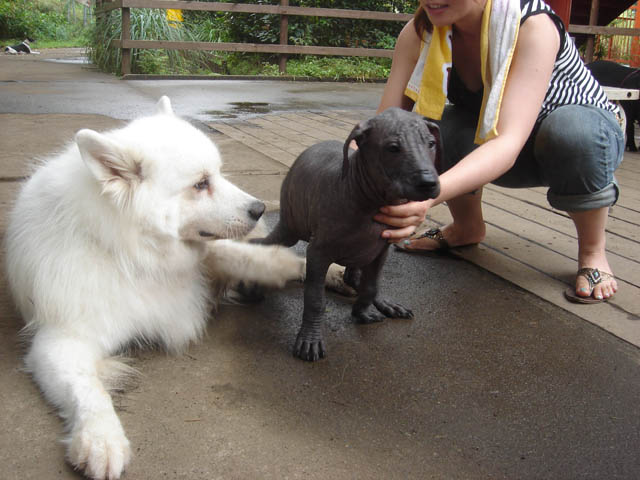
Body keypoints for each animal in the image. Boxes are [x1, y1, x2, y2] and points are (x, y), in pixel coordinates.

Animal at [5, 95, 304, 478]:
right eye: (201, 183)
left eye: (218, 173)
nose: (259, 208)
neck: (131, 255)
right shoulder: (61, 340)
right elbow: (89, 392)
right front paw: (101, 440)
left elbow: (251, 258)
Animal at [255, 106, 440, 360]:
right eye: (393, 148)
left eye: (431, 143)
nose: (428, 182)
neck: (371, 201)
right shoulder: (317, 253)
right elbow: (315, 299)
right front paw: (309, 339)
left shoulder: (382, 248)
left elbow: (371, 286)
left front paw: (362, 312)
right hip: (290, 226)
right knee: (267, 244)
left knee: (357, 277)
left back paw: (384, 303)